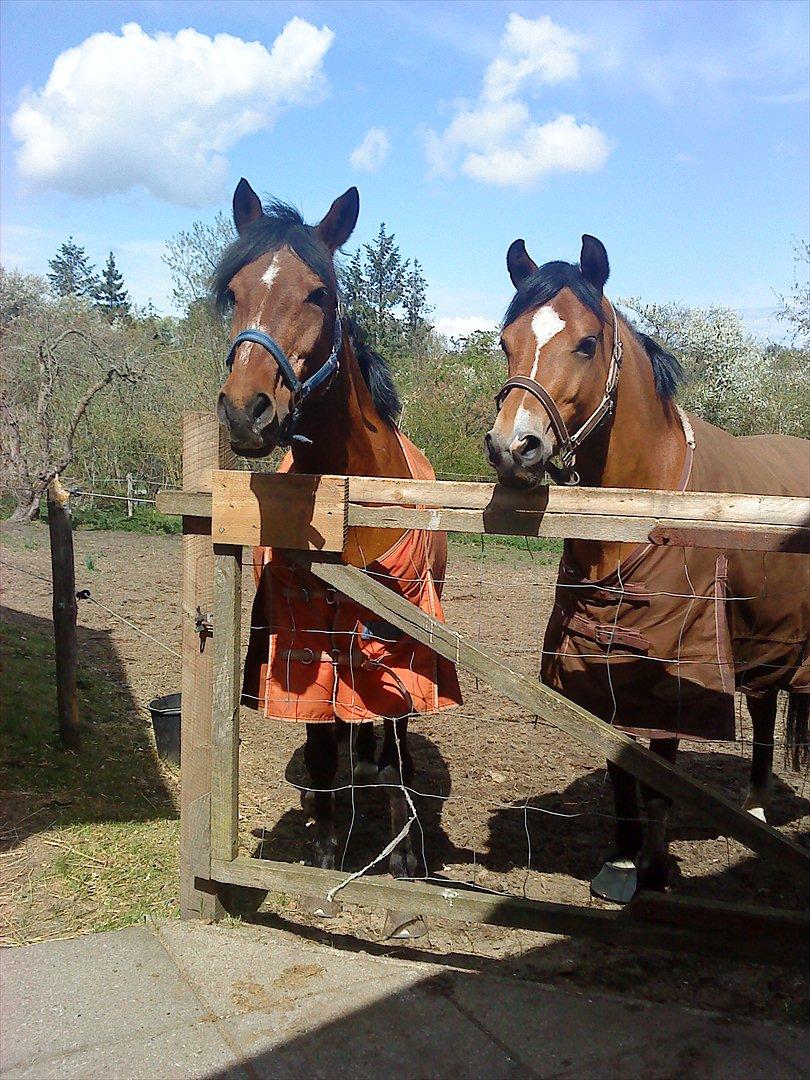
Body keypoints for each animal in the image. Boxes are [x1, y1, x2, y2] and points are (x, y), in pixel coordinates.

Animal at [216, 181, 462, 881]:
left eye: (319, 293)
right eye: (232, 291)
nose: (246, 411)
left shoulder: (402, 634)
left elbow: (398, 745)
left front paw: (405, 854)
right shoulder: (302, 631)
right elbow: (323, 743)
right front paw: (326, 848)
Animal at [488, 234, 810, 902]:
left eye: (587, 343)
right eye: (506, 341)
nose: (513, 447)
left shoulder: (673, 671)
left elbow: (660, 770)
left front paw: (657, 870)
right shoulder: (603, 665)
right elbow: (620, 764)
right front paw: (621, 859)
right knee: (765, 704)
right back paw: (757, 809)